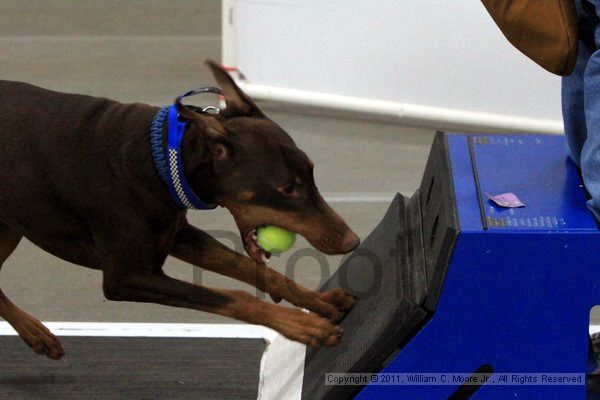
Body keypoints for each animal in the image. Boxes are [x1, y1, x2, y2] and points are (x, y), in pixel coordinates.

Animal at [0, 61, 358, 360]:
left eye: (311, 172)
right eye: (287, 189)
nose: (351, 242)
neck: (160, 160)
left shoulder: (178, 235)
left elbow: (249, 267)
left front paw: (320, 302)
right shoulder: (127, 278)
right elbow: (235, 295)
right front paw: (304, 326)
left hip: (10, 229)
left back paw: (36, 334)